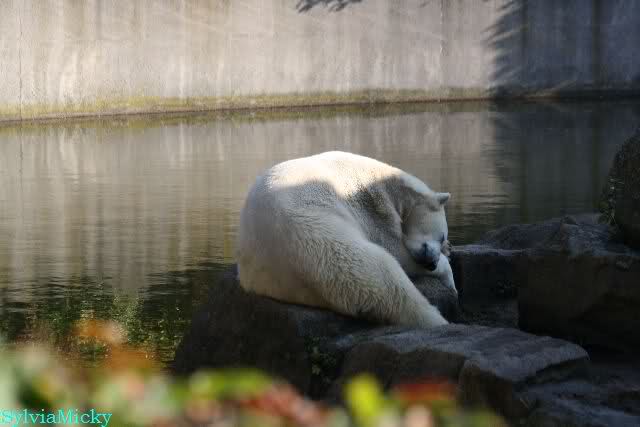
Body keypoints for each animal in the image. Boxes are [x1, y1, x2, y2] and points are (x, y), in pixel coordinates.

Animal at [236, 151, 455, 328]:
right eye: (441, 235)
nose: (431, 262)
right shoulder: (370, 210)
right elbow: (397, 251)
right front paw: (447, 272)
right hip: (328, 248)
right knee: (385, 278)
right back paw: (438, 319)